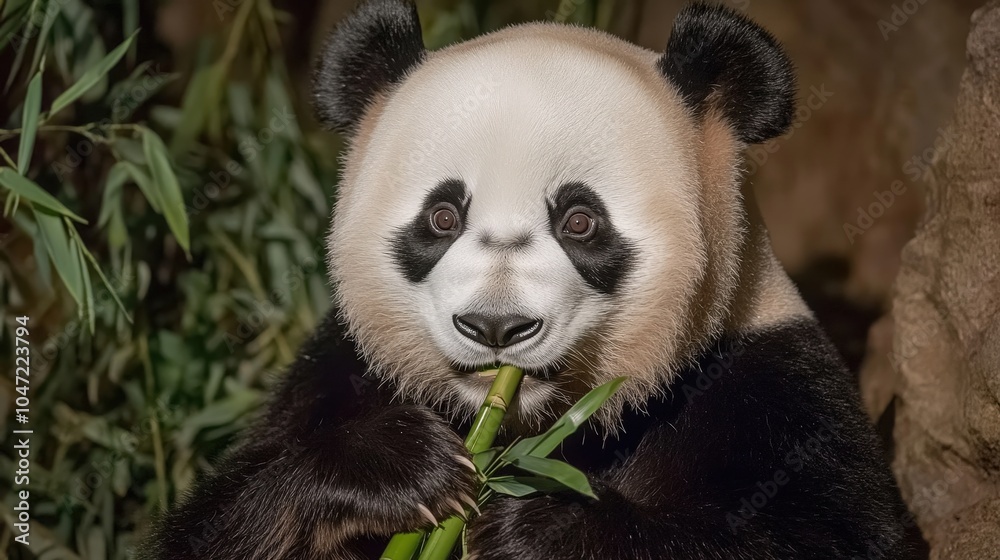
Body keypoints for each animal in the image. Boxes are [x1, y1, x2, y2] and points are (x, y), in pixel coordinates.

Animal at [144, 1, 916, 559]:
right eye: (443, 216)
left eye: (580, 221)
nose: (496, 327)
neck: (529, 426)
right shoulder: (334, 372)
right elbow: (214, 526)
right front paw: (404, 470)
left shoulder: (767, 391)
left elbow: (832, 536)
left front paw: (535, 525)